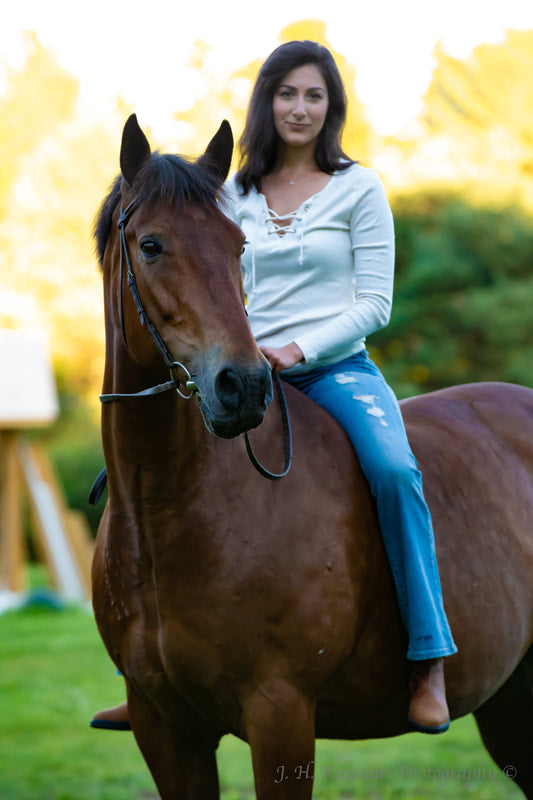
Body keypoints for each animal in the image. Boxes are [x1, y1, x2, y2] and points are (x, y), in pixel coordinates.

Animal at [91, 114, 532, 800]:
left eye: (237, 247)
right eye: (152, 245)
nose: (243, 386)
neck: (168, 516)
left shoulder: (281, 714)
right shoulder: (161, 725)